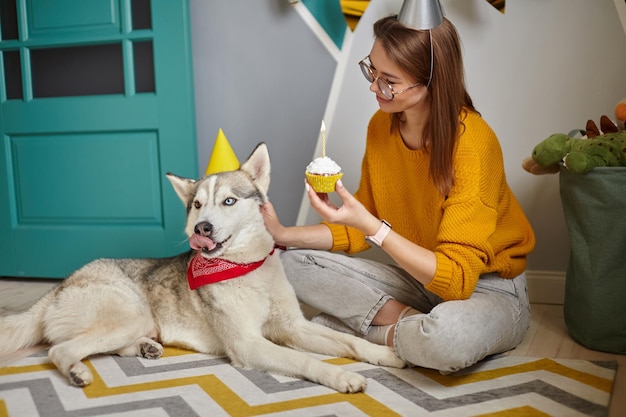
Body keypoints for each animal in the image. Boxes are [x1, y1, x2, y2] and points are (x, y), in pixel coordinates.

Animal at [0, 142, 404, 390]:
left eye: (229, 201)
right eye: (196, 205)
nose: (201, 228)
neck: (247, 270)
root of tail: (60, 284)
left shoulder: (294, 326)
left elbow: (349, 342)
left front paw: (385, 354)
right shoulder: (248, 344)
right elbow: (304, 361)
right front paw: (340, 378)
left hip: (136, 321)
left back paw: (145, 349)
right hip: (129, 313)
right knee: (59, 350)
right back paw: (77, 372)